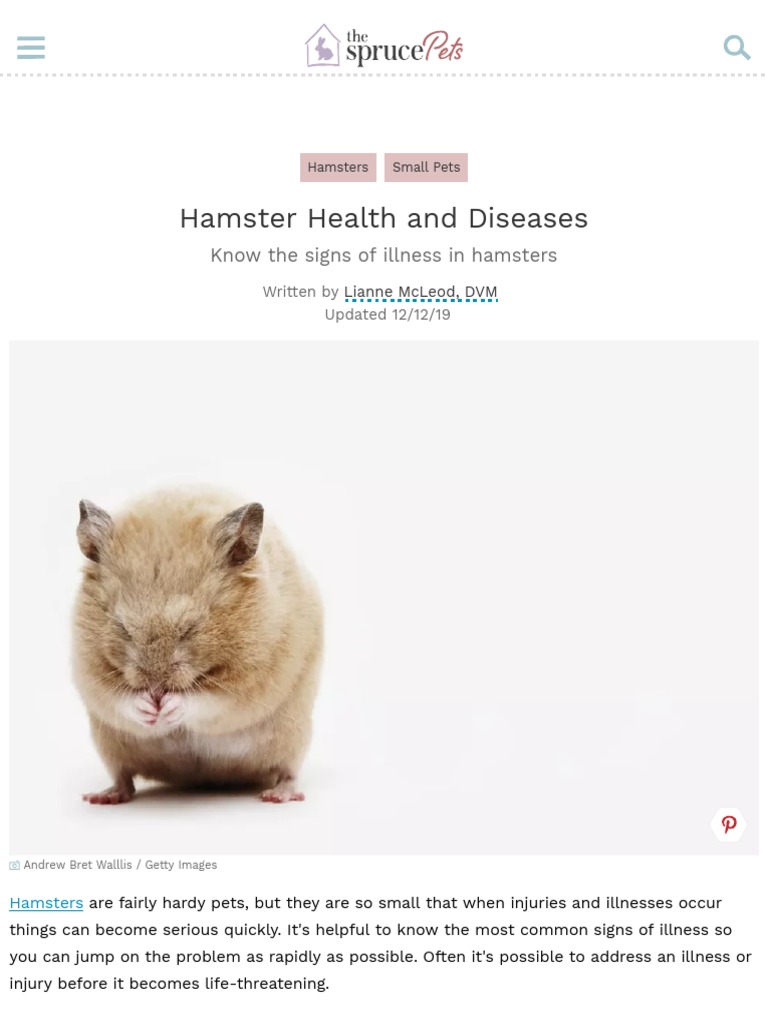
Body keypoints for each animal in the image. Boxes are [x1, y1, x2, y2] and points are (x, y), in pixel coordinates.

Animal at [73, 488, 323, 804]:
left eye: (190, 628)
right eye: (122, 627)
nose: (156, 691)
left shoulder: (249, 682)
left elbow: (207, 700)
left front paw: (169, 706)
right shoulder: (88, 672)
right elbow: (116, 698)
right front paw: (147, 707)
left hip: (294, 735)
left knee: (287, 771)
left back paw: (277, 795)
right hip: (109, 745)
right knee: (122, 777)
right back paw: (102, 797)